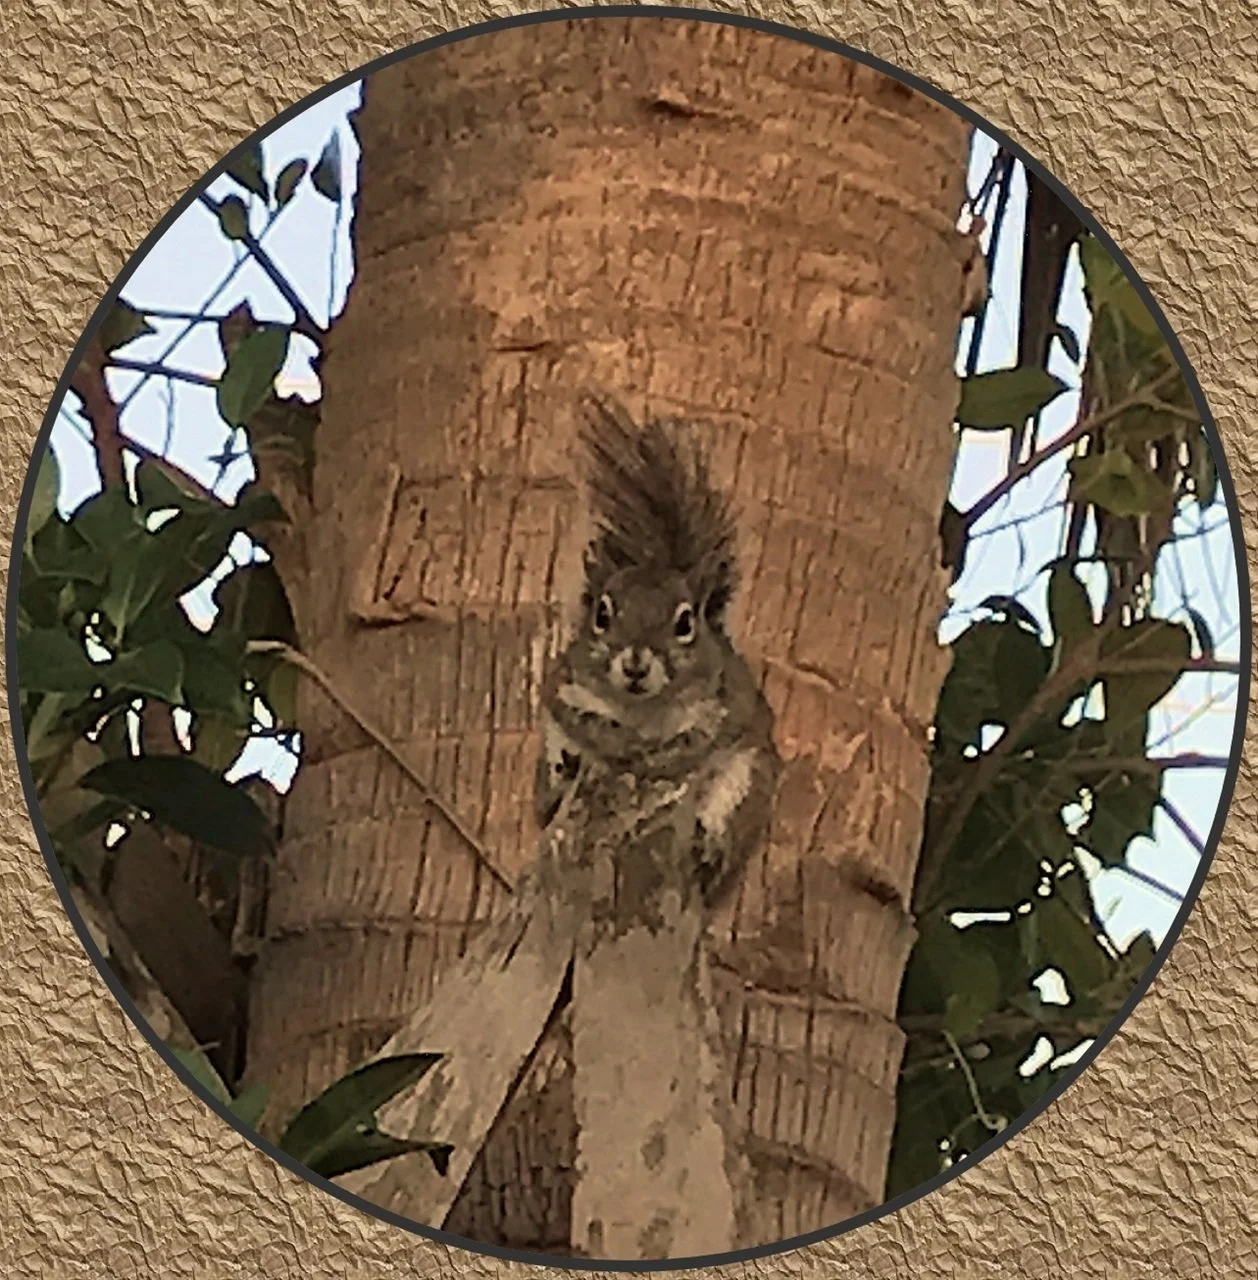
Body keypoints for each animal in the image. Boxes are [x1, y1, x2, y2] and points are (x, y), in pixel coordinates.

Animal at [534, 394, 781, 911]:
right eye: (602, 613)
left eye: (685, 623)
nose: (635, 662)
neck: (640, 711)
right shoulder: (563, 686)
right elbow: (581, 720)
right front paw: (612, 745)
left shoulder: (723, 706)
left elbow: (692, 743)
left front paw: (653, 755)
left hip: (744, 782)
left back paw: (708, 846)